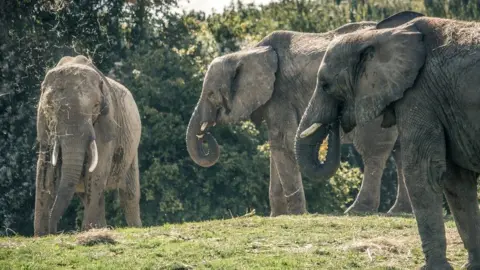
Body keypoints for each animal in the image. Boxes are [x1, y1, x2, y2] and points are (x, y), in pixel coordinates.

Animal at [34, 55, 142, 236]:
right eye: (51, 108)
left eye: (95, 107)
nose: (55, 231)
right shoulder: (44, 126)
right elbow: (44, 170)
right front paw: (41, 236)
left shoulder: (106, 121)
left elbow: (98, 169)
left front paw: (88, 230)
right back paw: (101, 227)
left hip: (132, 148)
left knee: (129, 194)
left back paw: (133, 228)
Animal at [188, 11, 424, 217]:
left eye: (211, 94)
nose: (206, 135)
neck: (249, 51)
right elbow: (276, 146)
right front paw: (277, 216)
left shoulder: (280, 94)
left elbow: (283, 142)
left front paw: (296, 215)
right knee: (400, 150)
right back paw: (399, 212)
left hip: (373, 90)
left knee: (373, 149)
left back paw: (357, 211)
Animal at [292, 10, 480, 270]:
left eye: (326, 85)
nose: (336, 123)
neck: (379, 35)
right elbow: (457, 179)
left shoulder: (419, 94)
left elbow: (422, 171)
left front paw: (435, 268)